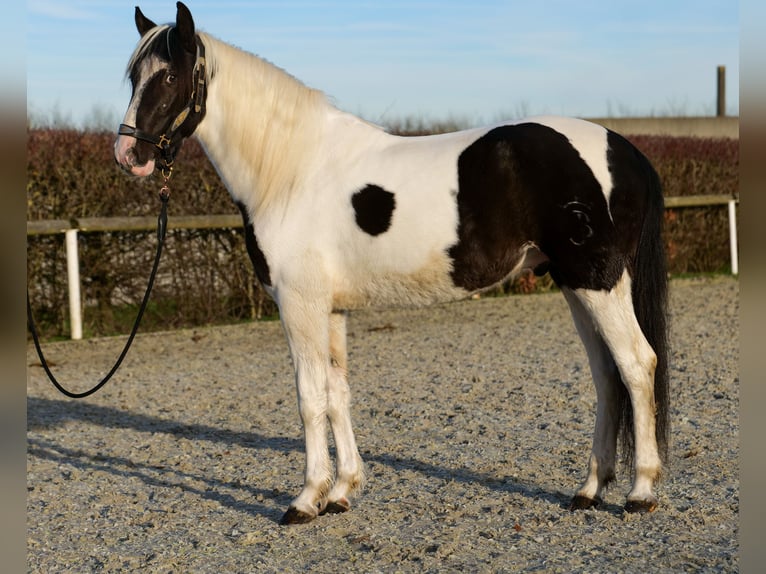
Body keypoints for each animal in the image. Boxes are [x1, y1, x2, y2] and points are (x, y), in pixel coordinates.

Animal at [115, 2, 672, 528]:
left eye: (169, 77)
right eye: (133, 76)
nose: (128, 156)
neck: (291, 168)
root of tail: (623, 150)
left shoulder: (299, 304)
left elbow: (309, 397)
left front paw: (305, 500)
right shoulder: (331, 309)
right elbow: (337, 392)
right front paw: (341, 491)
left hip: (597, 280)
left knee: (636, 365)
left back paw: (641, 492)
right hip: (577, 284)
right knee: (606, 375)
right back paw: (590, 489)